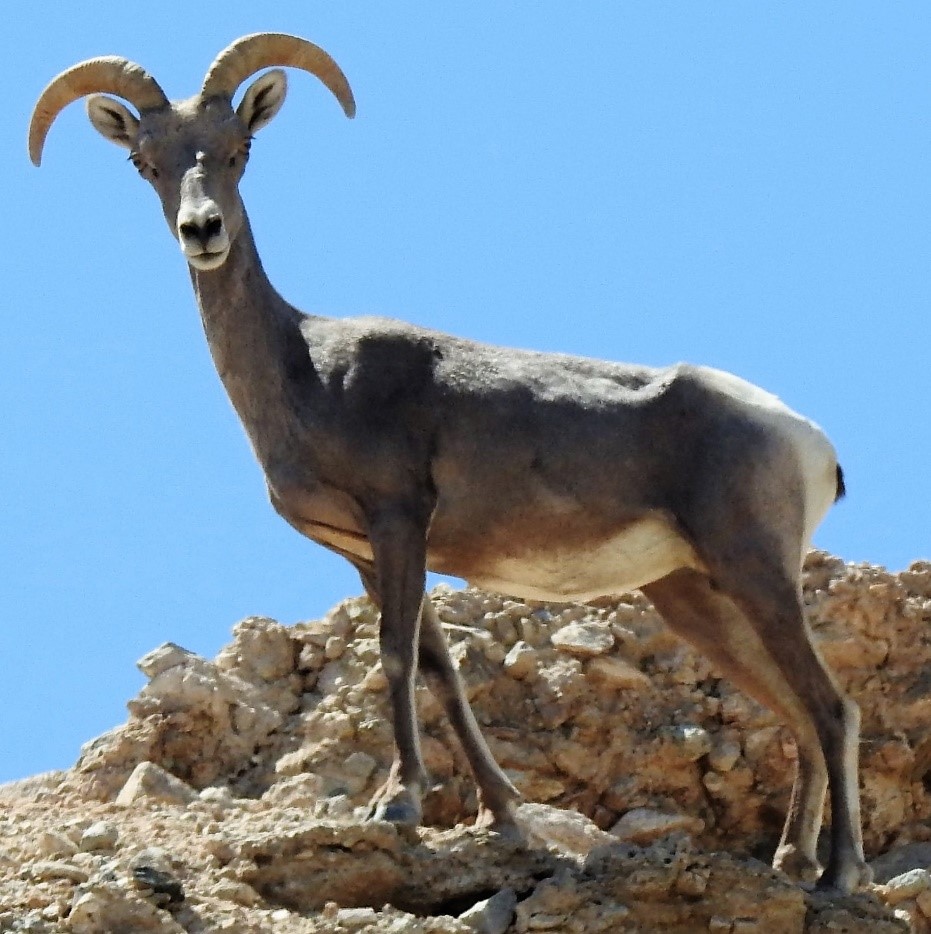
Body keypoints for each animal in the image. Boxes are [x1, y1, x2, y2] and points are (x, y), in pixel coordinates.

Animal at [31, 33, 872, 896]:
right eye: (145, 162)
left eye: (239, 150)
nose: (202, 230)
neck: (306, 370)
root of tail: (805, 440)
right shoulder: (369, 555)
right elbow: (439, 666)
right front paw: (500, 813)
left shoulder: (398, 521)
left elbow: (396, 656)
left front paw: (399, 803)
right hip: (692, 596)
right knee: (796, 712)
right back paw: (792, 863)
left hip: (753, 572)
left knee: (831, 708)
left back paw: (839, 876)